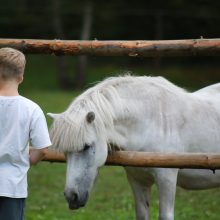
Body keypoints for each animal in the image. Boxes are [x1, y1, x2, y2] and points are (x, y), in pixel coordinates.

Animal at [49, 76, 220, 220]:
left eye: (86, 146)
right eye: (64, 152)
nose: (71, 197)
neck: (152, 121)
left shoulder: (167, 179)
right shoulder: (138, 180)